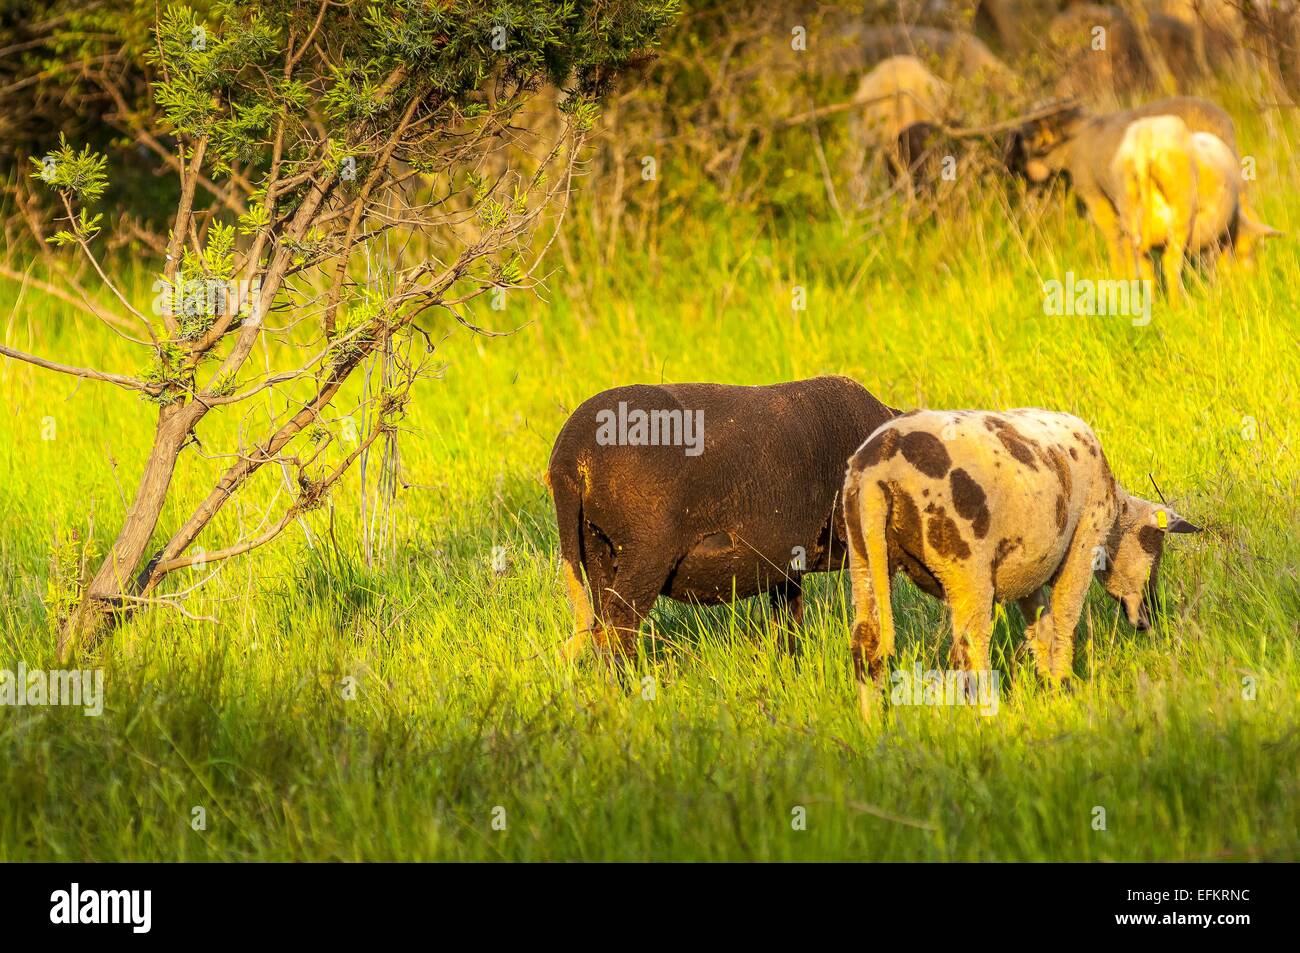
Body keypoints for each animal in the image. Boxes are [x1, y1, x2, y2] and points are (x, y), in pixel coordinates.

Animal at [548, 377, 898, 661]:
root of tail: (569, 458)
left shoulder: (786, 561)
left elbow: (787, 620)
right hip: (646, 552)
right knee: (617, 628)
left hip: (596, 547)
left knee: (602, 625)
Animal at [842, 409, 1201, 719]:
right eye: (1154, 547)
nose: (1151, 617)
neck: (1116, 520)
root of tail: (878, 472)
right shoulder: (1085, 539)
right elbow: (1064, 617)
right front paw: (1063, 685)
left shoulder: (1031, 566)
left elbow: (1040, 628)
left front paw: (1051, 684)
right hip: (965, 564)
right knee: (969, 648)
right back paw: (986, 716)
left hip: (863, 552)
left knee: (866, 643)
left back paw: (871, 723)